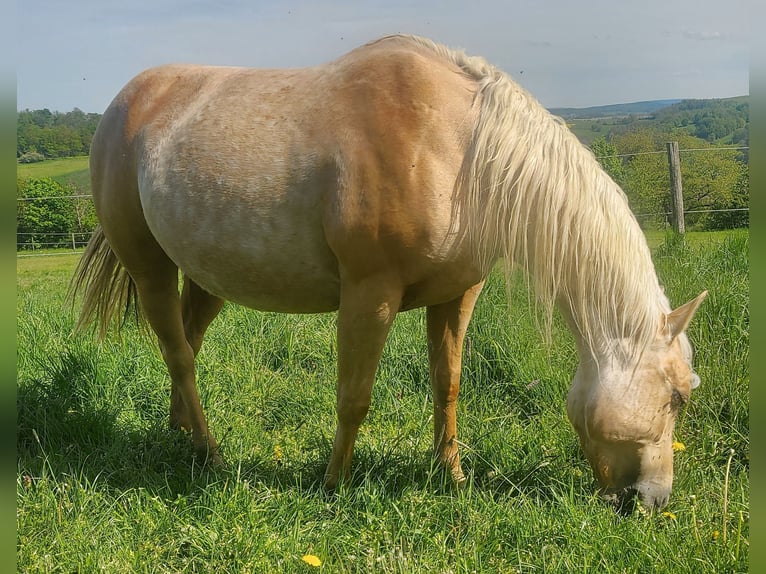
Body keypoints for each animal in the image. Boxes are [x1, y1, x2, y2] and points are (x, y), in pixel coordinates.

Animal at [72, 33, 708, 510]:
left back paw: (180, 432)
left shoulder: (458, 294)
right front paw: (333, 485)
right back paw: (209, 452)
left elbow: (448, 384)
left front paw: (451, 476)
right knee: (178, 351)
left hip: (207, 274)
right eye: (678, 397)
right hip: (148, 267)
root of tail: (126, 102)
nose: (653, 501)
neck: (460, 149)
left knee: (187, 341)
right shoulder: (368, 294)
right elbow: (354, 396)